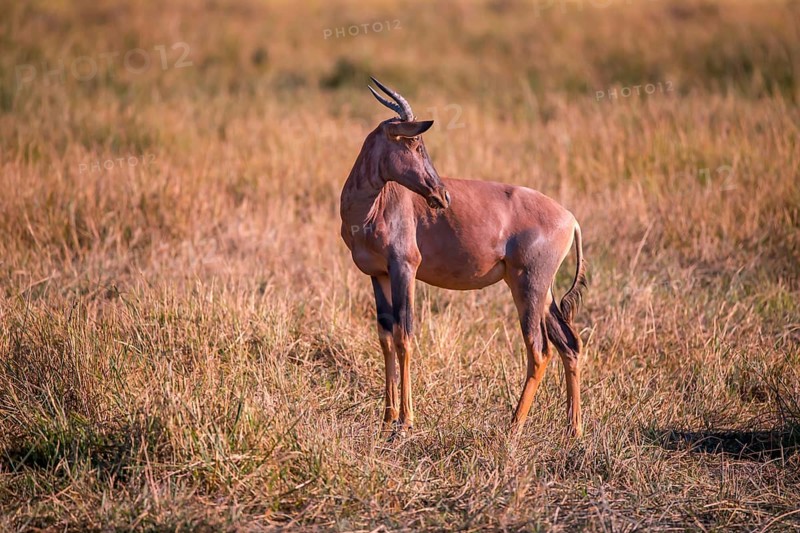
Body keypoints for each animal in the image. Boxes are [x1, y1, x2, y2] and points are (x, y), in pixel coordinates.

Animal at [340, 78, 587, 438]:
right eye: (415, 144)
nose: (442, 196)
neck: (374, 206)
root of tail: (570, 219)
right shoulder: (378, 274)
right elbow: (385, 336)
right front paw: (386, 421)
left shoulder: (405, 268)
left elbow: (404, 336)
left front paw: (405, 422)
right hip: (543, 291)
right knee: (569, 344)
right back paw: (573, 430)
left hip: (528, 286)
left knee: (539, 350)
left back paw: (513, 427)